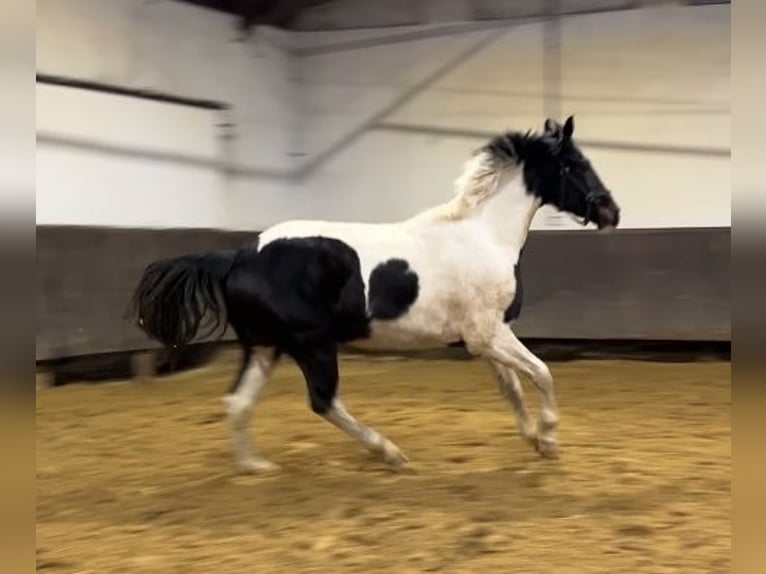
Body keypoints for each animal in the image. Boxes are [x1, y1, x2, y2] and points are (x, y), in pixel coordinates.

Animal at [132, 116, 624, 472]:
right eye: (574, 165)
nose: (611, 212)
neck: (483, 234)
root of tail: (238, 255)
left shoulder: (487, 338)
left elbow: (513, 389)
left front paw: (536, 442)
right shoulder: (487, 336)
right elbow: (542, 374)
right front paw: (551, 439)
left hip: (265, 348)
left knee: (237, 402)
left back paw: (256, 466)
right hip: (311, 344)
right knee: (324, 401)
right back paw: (388, 452)